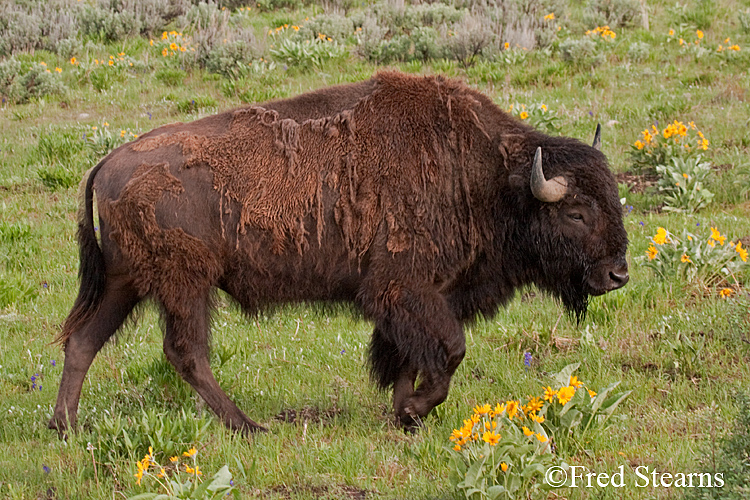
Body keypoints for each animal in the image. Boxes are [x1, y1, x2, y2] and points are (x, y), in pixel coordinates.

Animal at [50, 72, 632, 436]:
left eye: (612, 200)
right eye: (576, 212)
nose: (618, 275)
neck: (490, 178)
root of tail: (107, 162)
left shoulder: (422, 298)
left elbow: (408, 355)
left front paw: (404, 413)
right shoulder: (403, 289)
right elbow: (450, 351)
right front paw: (415, 409)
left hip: (126, 282)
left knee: (84, 341)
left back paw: (66, 426)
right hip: (185, 285)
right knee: (185, 351)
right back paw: (248, 427)